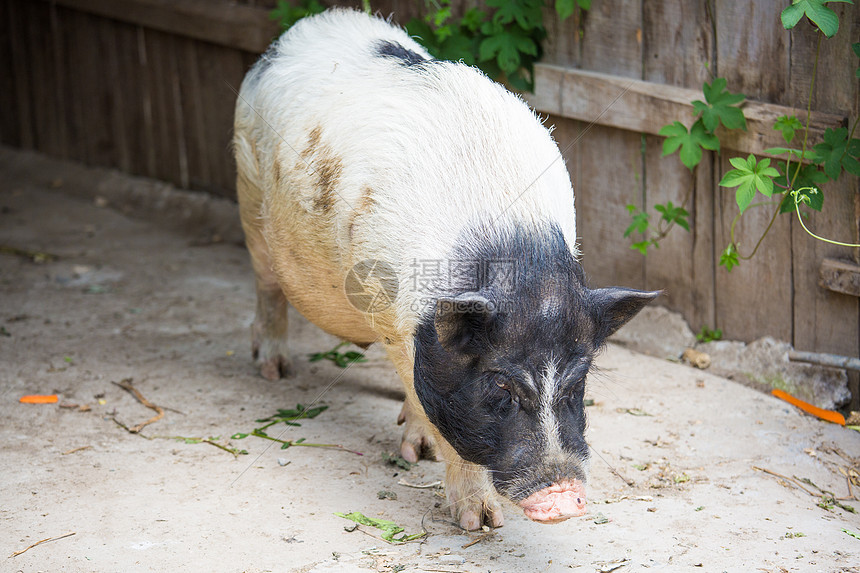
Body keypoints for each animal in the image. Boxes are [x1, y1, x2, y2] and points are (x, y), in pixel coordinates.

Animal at [233, 7, 660, 532]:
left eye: (577, 384)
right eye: (501, 385)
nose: (563, 499)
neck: (514, 249)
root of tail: (307, 27)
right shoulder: (397, 319)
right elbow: (435, 406)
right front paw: (480, 522)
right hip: (249, 189)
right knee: (266, 284)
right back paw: (273, 370)